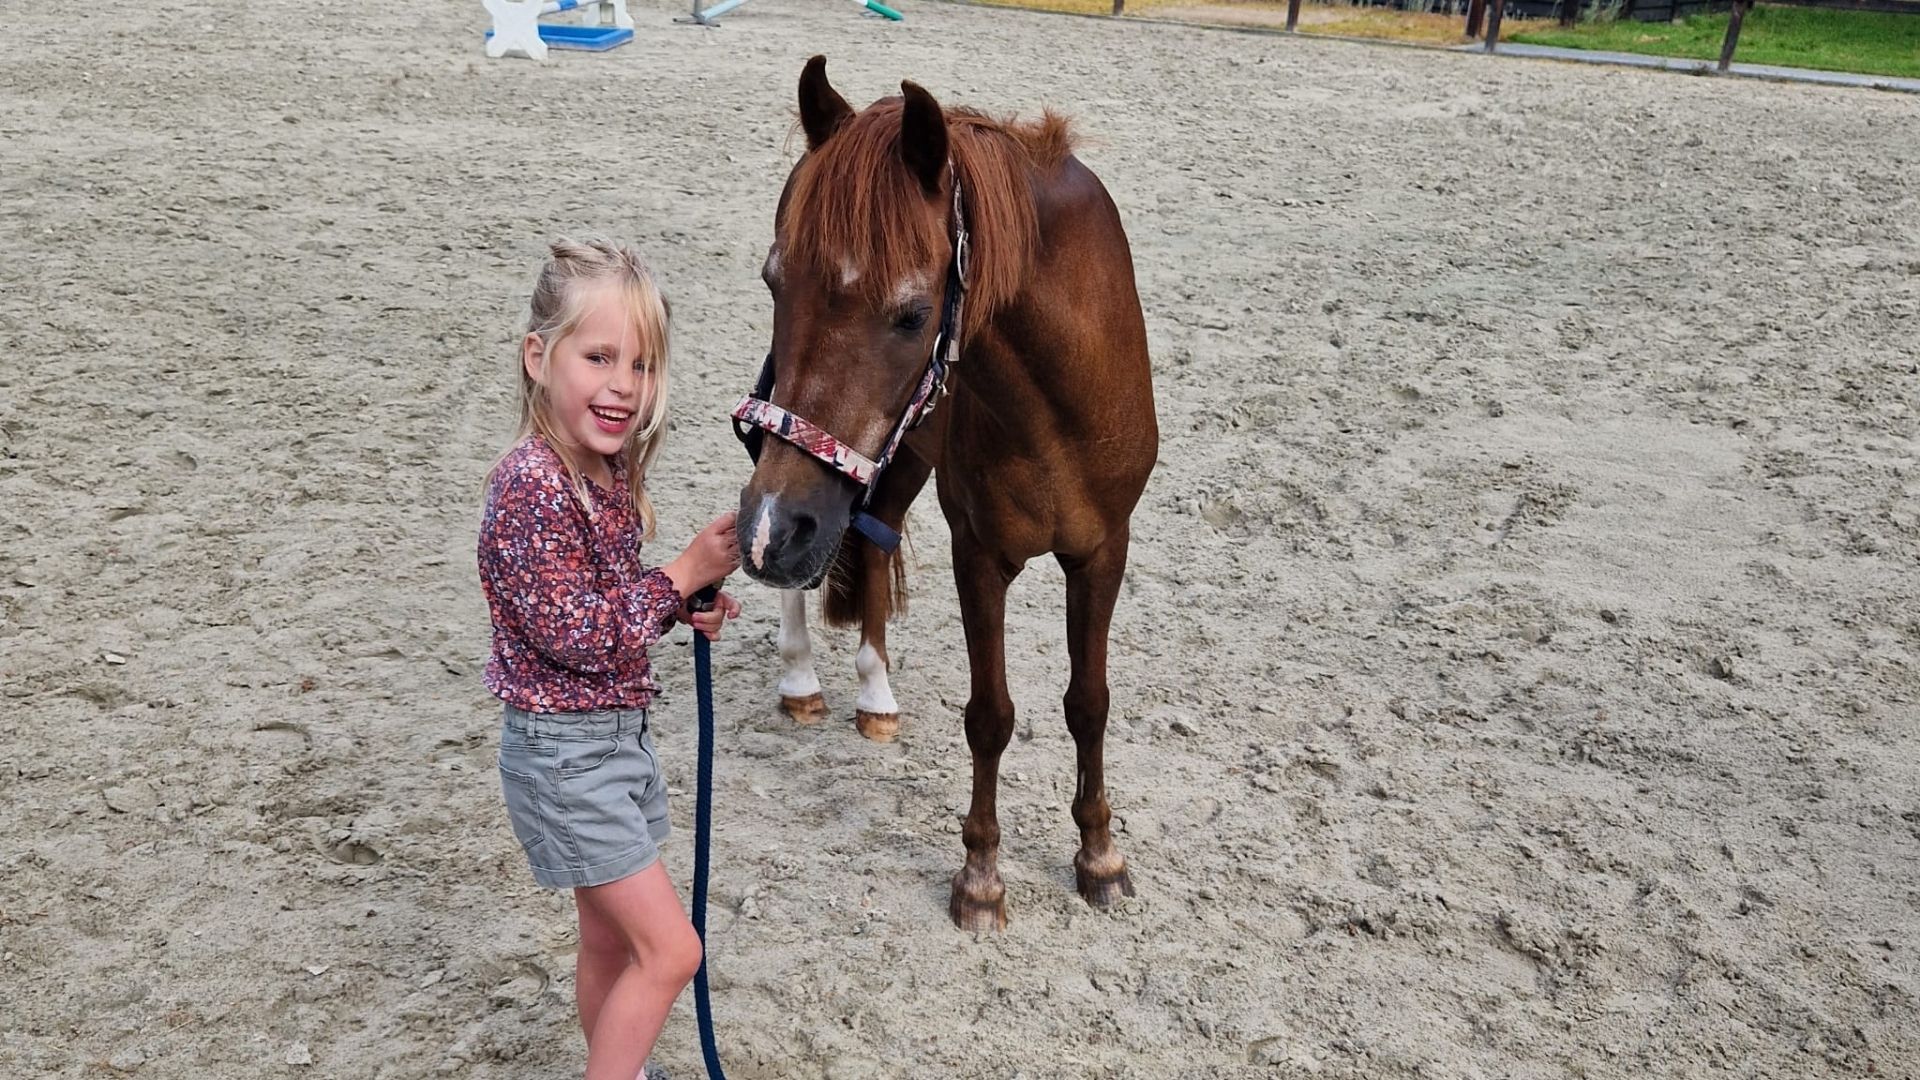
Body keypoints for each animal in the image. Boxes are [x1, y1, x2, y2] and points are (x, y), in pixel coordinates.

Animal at [731, 56, 1158, 932]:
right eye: (773, 283)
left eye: (912, 314)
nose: (768, 533)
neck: (1062, 399)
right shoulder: (980, 556)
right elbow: (990, 716)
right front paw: (982, 878)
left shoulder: (1104, 550)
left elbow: (1089, 700)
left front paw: (1099, 856)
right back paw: (801, 679)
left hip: (888, 467)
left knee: (867, 535)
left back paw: (874, 695)